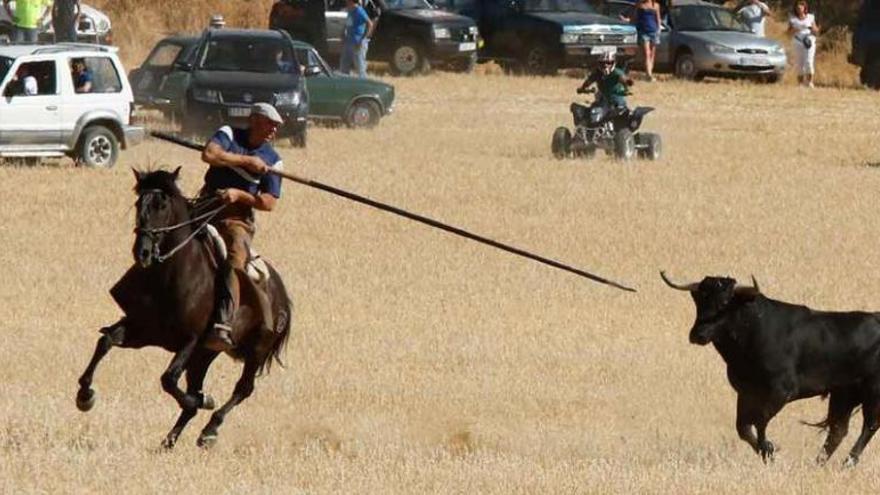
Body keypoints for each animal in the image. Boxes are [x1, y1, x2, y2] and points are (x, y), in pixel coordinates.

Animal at [75, 168, 292, 450]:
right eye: (139, 203)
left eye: (162, 205)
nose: (142, 252)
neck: (171, 275)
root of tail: (283, 295)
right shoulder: (141, 330)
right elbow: (106, 341)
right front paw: (84, 395)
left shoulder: (191, 339)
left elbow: (169, 379)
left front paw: (202, 402)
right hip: (206, 354)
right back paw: (169, 441)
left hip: (256, 348)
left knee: (243, 388)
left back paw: (209, 430)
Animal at [664, 274, 880, 466]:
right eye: (699, 299)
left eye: (725, 302)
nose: (698, 335)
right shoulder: (746, 392)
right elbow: (743, 427)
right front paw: (766, 451)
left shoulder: (780, 391)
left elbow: (760, 420)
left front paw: (769, 449)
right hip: (844, 393)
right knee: (838, 430)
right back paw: (818, 463)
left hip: (872, 391)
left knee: (869, 425)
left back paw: (849, 462)